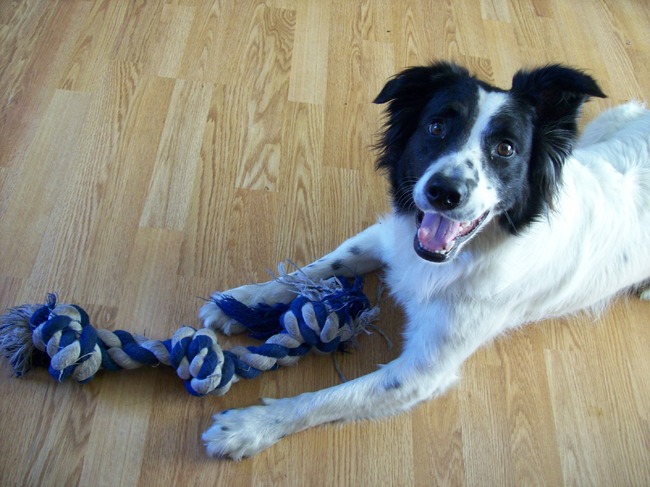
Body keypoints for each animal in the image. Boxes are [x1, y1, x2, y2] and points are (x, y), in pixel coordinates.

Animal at [200, 62, 650, 459]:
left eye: (505, 149)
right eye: (436, 127)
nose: (444, 191)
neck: (454, 258)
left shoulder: (423, 371)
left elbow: (329, 399)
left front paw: (248, 426)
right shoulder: (388, 237)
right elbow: (324, 265)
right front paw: (244, 301)